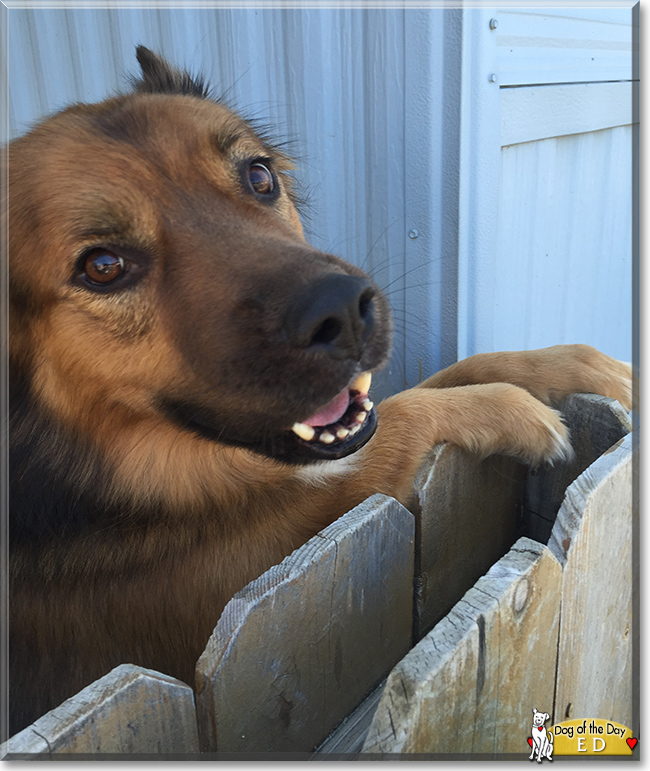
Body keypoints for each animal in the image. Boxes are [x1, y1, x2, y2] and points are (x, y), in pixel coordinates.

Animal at [6, 48, 632, 736]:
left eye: (258, 177)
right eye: (103, 267)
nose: (348, 313)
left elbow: (458, 368)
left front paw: (579, 365)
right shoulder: (241, 563)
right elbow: (404, 414)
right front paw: (508, 407)